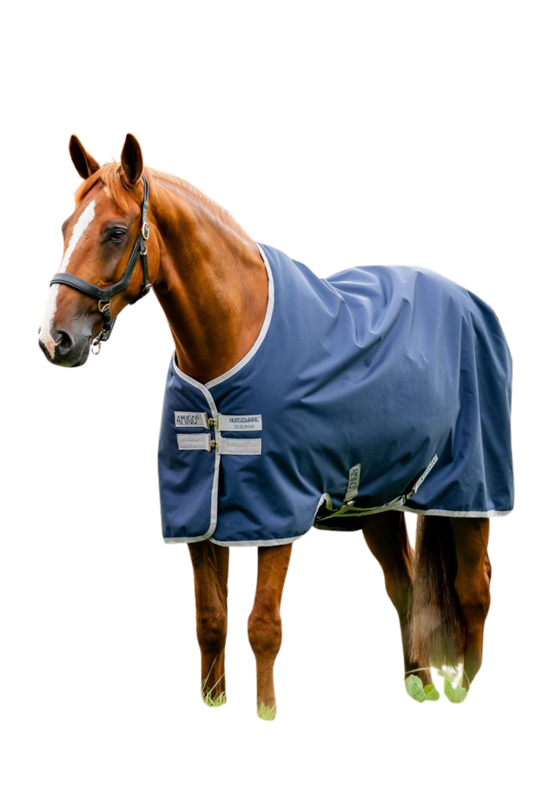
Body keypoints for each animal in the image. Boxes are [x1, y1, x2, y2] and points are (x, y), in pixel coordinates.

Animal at [36, 130, 517, 722]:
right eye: (64, 228)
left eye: (116, 232)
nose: (54, 338)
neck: (232, 339)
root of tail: (471, 301)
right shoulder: (200, 513)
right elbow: (211, 622)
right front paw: (213, 700)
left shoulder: (278, 507)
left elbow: (262, 623)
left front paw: (266, 709)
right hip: (375, 505)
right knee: (404, 588)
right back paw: (420, 680)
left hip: (469, 490)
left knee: (473, 590)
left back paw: (462, 686)